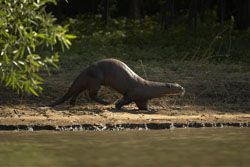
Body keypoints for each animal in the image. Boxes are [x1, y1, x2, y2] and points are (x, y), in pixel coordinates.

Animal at [40, 58, 185, 111]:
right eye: (177, 87)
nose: (183, 88)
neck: (147, 88)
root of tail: (84, 70)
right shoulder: (133, 93)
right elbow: (125, 100)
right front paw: (117, 105)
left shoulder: (142, 98)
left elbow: (143, 106)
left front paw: (150, 110)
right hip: (96, 78)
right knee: (91, 94)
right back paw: (105, 102)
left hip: (87, 81)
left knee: (77, 91)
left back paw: (73, 103)